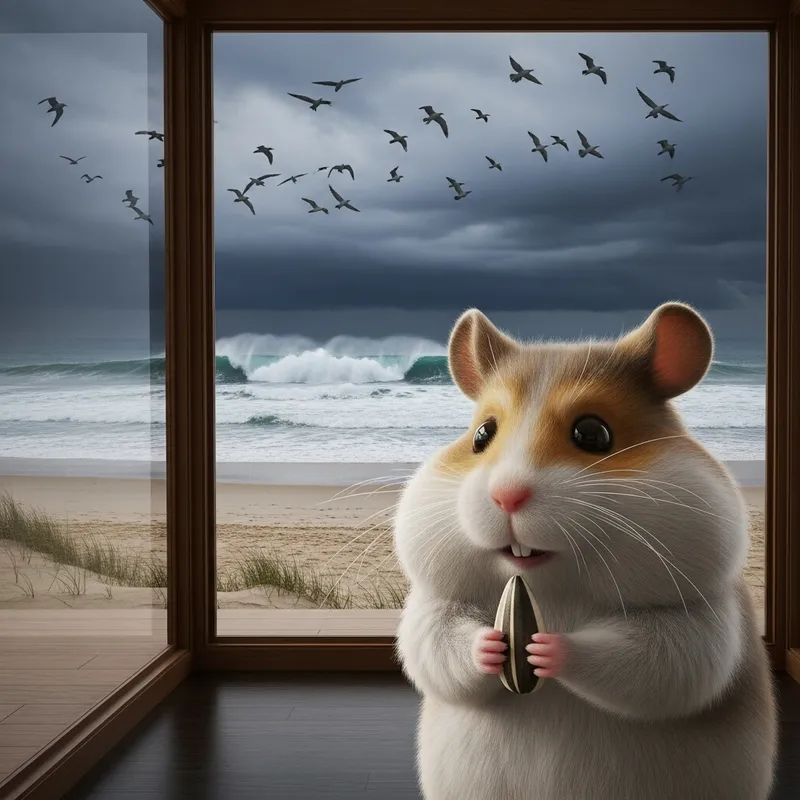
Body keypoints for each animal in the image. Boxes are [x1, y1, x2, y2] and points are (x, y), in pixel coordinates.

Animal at [393, 302, 777, 800]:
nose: (506, 496)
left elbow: (657, 662)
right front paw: (492, 644)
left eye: (593, 434)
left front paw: (546, 647)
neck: (551, 588)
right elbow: (435, 645)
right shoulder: (433, 607)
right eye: (481, 435)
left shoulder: (698, 621)